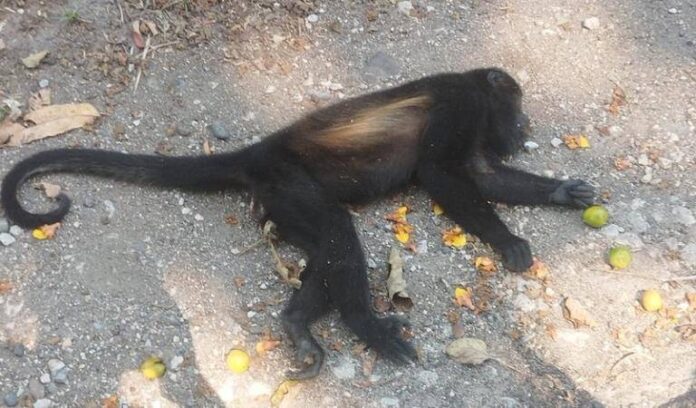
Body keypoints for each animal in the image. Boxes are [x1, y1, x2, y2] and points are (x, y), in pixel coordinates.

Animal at [1, 68, 595, 379]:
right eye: (516, 108)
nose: (525, 126)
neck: (473, 85)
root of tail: (260, 153)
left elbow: (482, 175)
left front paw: (563, 193)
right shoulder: (462, 103)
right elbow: (442, 174)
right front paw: (505, 239)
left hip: (281, 204)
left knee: (327, 252)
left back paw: (297, 324)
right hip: (290, 184)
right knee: (338, 235)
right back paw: (366, 325)